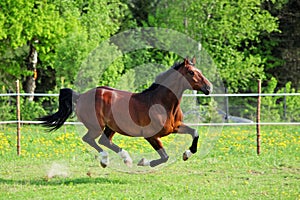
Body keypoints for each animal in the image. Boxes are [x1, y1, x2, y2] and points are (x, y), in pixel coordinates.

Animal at [38, 57, 212, 168]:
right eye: (191, 72)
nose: (208, 88)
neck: (162, 104)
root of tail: (80, 96)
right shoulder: (150, 135)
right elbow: (165, 157)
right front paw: (143, 162)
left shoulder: (175, 127)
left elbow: (195, 132)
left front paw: (187, 154)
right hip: (96, 126)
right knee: (89, 139)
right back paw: (108, 160)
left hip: (111, 127)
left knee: (103, 141)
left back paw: (124, 159)